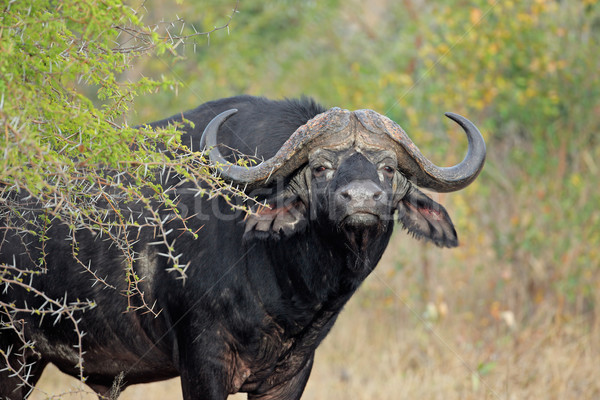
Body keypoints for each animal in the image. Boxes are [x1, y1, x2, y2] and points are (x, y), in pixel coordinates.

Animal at [0, 97, 486, 400]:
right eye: (320, 167)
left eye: (388, 168)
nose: (363, 200)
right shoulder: (203, 365)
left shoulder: (291, 375)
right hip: (13, 356)